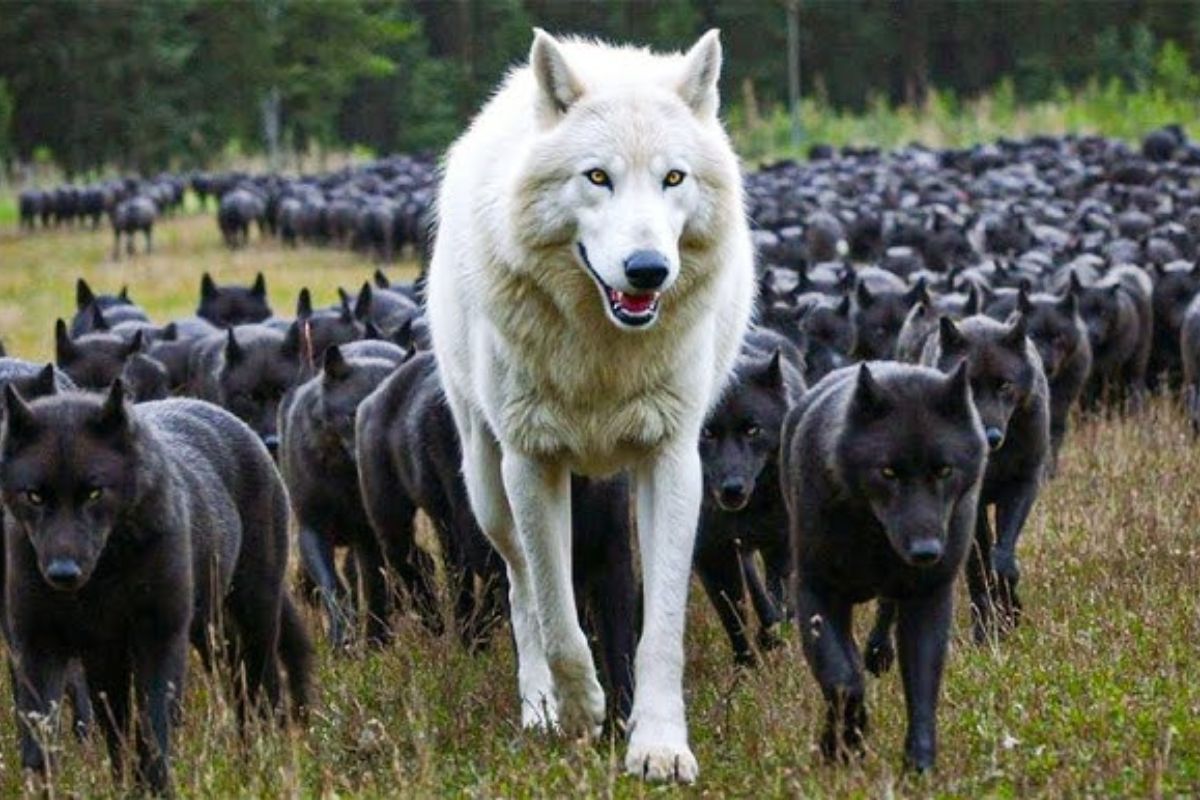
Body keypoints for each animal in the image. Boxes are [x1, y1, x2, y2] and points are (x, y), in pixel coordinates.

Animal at [1, 382, 312, 794]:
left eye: (95, 493)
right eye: (34, 496)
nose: (62, 573)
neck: (100, 580)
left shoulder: (159, 637)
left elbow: (154, 729)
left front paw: (157, 789)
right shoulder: (40, 646)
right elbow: (42, 743)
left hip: (251, 620)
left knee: (259, 691)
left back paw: (261, 763)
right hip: (190, 639)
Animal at [425, 29, 754, 782]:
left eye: (673, 179)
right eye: (597, 177)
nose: (647, 271)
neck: (604, 350)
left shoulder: (673, 462)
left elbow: (660, 629)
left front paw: (658, 746)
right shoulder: (531, 461)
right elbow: (557, 617)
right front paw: (581, 715)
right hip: (487, 483)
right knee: (520, 588)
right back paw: (540, 709)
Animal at [782, 362, 986, 771]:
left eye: (944, 470)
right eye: (888, 472)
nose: (927, 552)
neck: (875, 539)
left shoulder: (928, 597)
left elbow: (922, 686)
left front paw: (919, 766)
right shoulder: (817, 593)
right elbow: (843, 681)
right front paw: (843, 746)